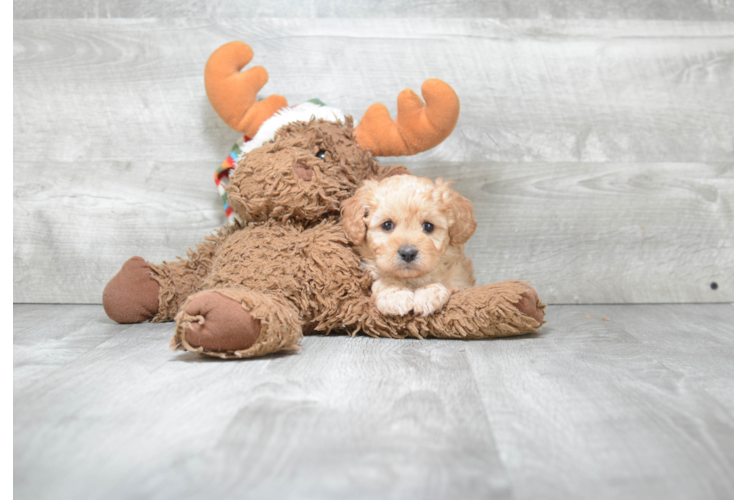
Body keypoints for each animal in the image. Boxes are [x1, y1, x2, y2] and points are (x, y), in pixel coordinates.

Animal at [342, 176, 476, 316]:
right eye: (387, 225)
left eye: (428, 226)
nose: (407, 253)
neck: (411, 279)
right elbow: (384, 281)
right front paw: (394, 296)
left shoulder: (461, 281)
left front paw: (428, 294)